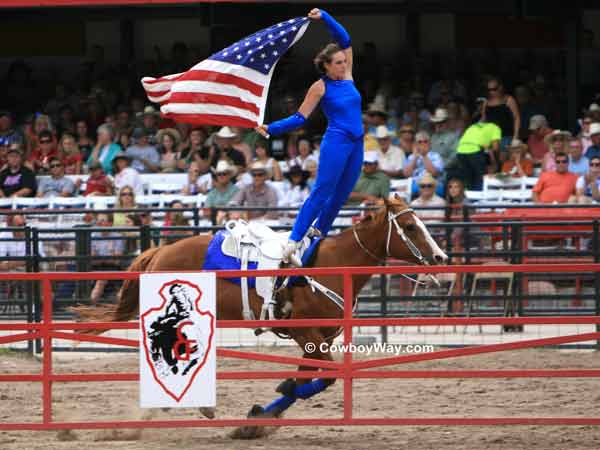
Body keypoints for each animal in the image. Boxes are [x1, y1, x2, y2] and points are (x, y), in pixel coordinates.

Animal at [75, 197, 446, 436]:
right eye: (411, 227)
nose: (441, 257)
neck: (331, 265)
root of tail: (159, 251)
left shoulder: (320, 338)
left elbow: (306, 379)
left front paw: (256, 420)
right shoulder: (307, 333)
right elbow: (323, 378)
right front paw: (269, 404)